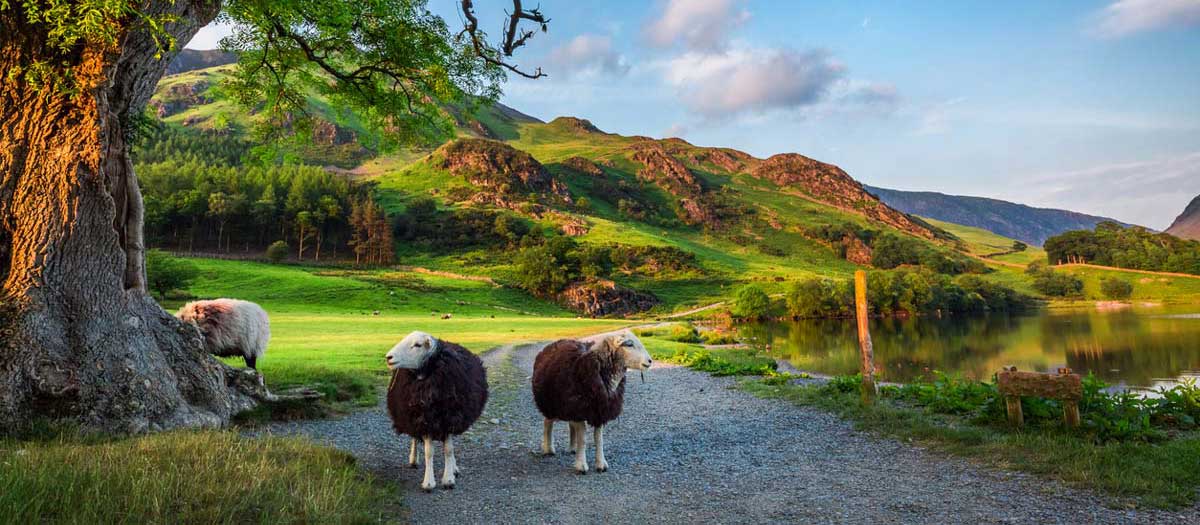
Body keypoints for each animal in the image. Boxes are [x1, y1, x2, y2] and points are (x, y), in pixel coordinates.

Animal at [384, 330, 487, 489]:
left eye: (417, 345)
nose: (388, 357)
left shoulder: (450, 418)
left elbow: (449, 450)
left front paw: (449, 478)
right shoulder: (424, 419)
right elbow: (429, 452)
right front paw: (429, 482)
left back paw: (454, 468)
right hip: (412, 416)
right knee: (414, 437)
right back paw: (413, 460)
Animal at [530, 330, 652, 474]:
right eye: (629, 344)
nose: (650, 361)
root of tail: (555, 343)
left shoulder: (599, 410)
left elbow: (598, 439)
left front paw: (601, 464)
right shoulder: (582, 408)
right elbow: (583, 439)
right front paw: (581, 465)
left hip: (570, 406)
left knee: (570, 425)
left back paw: (572, 448)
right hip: (551, 403)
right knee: (547, 423)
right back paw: (548, 448)